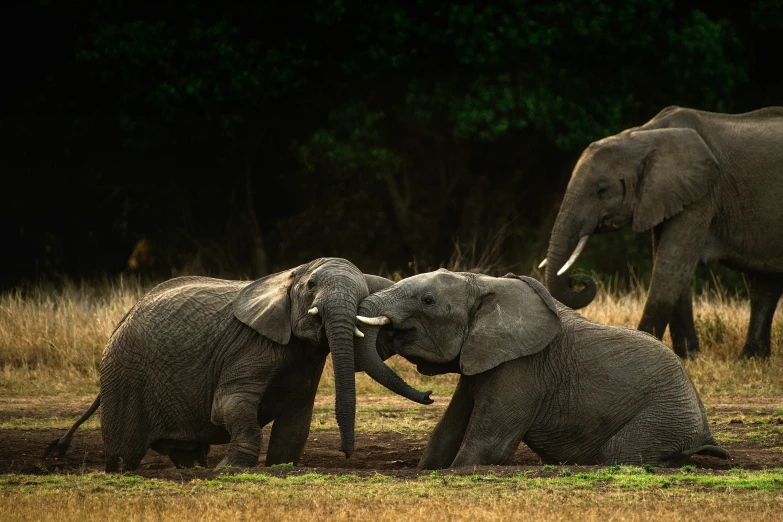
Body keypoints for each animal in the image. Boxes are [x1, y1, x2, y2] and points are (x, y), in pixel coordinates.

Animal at [45, 256, 432, 472]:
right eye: (311, 285)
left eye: (364, 291)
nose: (347, 455)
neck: (288, 276)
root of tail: (121, 321)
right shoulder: (248, 345)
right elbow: (229, 404)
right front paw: (231, 468)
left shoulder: (306, 360)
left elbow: (296, 419)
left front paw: (280, 466)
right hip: (124, 376)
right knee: (125, 454)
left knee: (183, 451)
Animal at [356, 268, 728, 468]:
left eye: (428, 301)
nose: (429, 395)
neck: (484, 282)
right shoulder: (485, 355)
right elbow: (445, 433)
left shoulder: (524, 368)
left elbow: (489, 445)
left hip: (664, 416)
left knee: (619, 453)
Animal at [540, 105, 783, 358]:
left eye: (602, 190)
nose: (580, 279)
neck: (643, 135)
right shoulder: (665, 195)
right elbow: (668, 262)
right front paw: (688, 355)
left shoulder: (702, 194)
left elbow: (671, 262)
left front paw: (647, 347)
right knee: (765, 284)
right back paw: (752, 357)